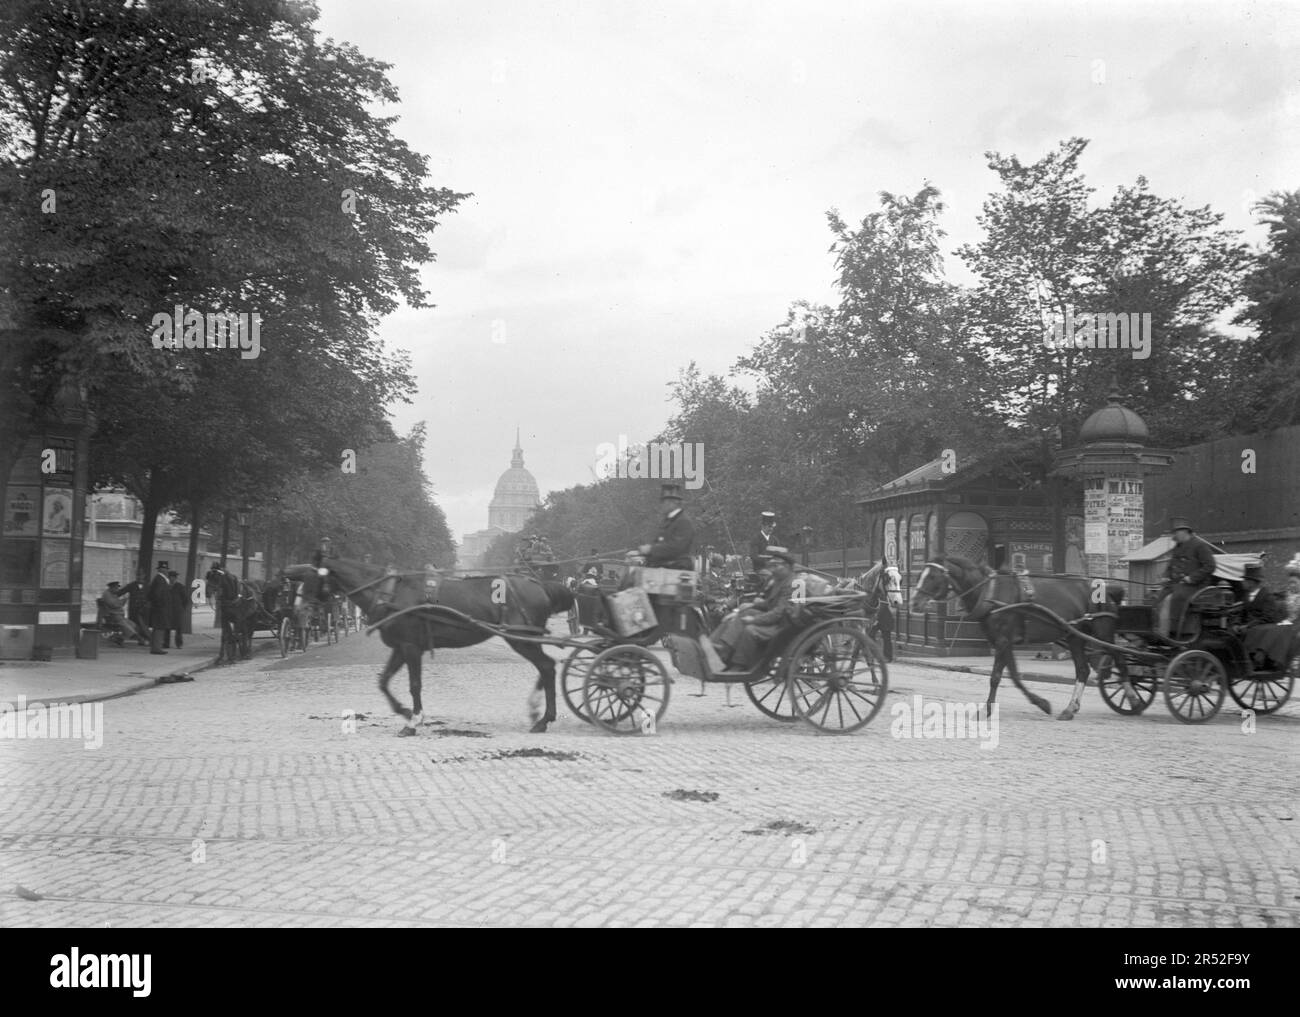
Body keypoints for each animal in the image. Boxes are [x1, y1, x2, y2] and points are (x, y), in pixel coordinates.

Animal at [314, 554, 574, 738]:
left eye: (312, 574)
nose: (318, 607)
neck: (391, 593)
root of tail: (540, 585)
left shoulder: (410, 647)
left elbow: (415, 685)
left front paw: (413, 721)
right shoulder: (401, 647)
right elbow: (383, 681)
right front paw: (404, 711)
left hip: (520, 639)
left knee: (547, 667)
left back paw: (543, 719)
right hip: (526, 640)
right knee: (545, 667)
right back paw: (537, 710)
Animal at [909, 554, 1123, 723]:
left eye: (933, 577)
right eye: (920, 575)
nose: (914, 602)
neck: (990, 593)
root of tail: (1102, 586)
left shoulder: (1003, 640)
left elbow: (996, 677)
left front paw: (986, 709)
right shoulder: (1003, 642)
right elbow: (1014, 676)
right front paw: (1041, 703)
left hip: (1100, 632)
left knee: (1116, 657)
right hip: (1074, 636)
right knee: (1083, 670)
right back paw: (1071, 708)